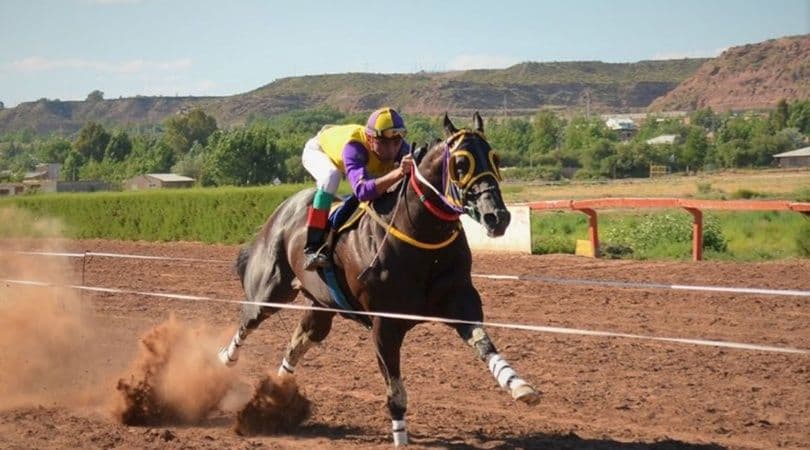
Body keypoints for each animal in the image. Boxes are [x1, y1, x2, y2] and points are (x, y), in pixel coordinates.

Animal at [218, 113, 539, 446]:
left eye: (495, 158)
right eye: (461, 163)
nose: (497, 217)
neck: (420, 235)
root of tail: (281, 211)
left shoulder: (459, 300)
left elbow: (483, 342)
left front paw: (518, 384)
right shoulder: (385, 323)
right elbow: (394, 390)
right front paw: (400, 436)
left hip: (321, 307)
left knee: (298, 342)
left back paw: (276, 397)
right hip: (270, 291)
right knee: (248, 321)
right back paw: (224, 362)